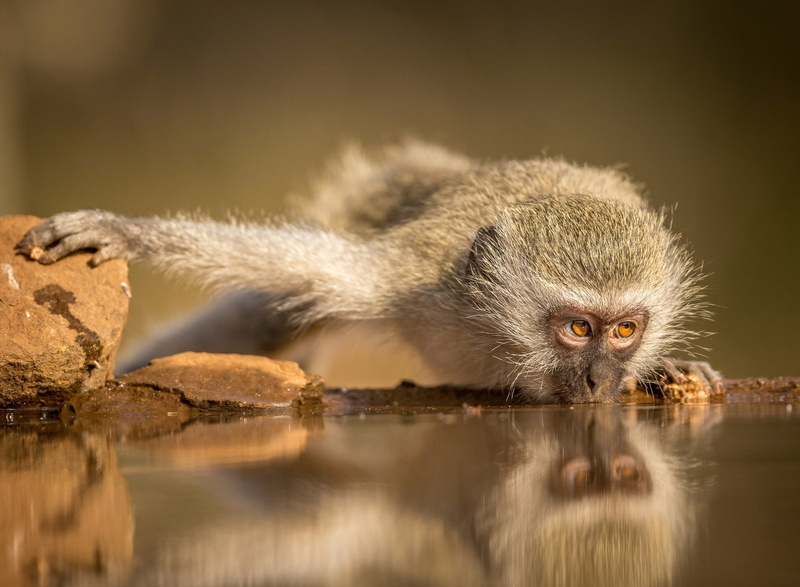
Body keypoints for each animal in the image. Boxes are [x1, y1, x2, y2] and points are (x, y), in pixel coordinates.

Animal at [16, 141, 722, 403]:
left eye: (625, 330)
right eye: (578, 329)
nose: (602, 380)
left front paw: (668, 367)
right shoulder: (410, 280)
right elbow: (279, 262)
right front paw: (125, 229)